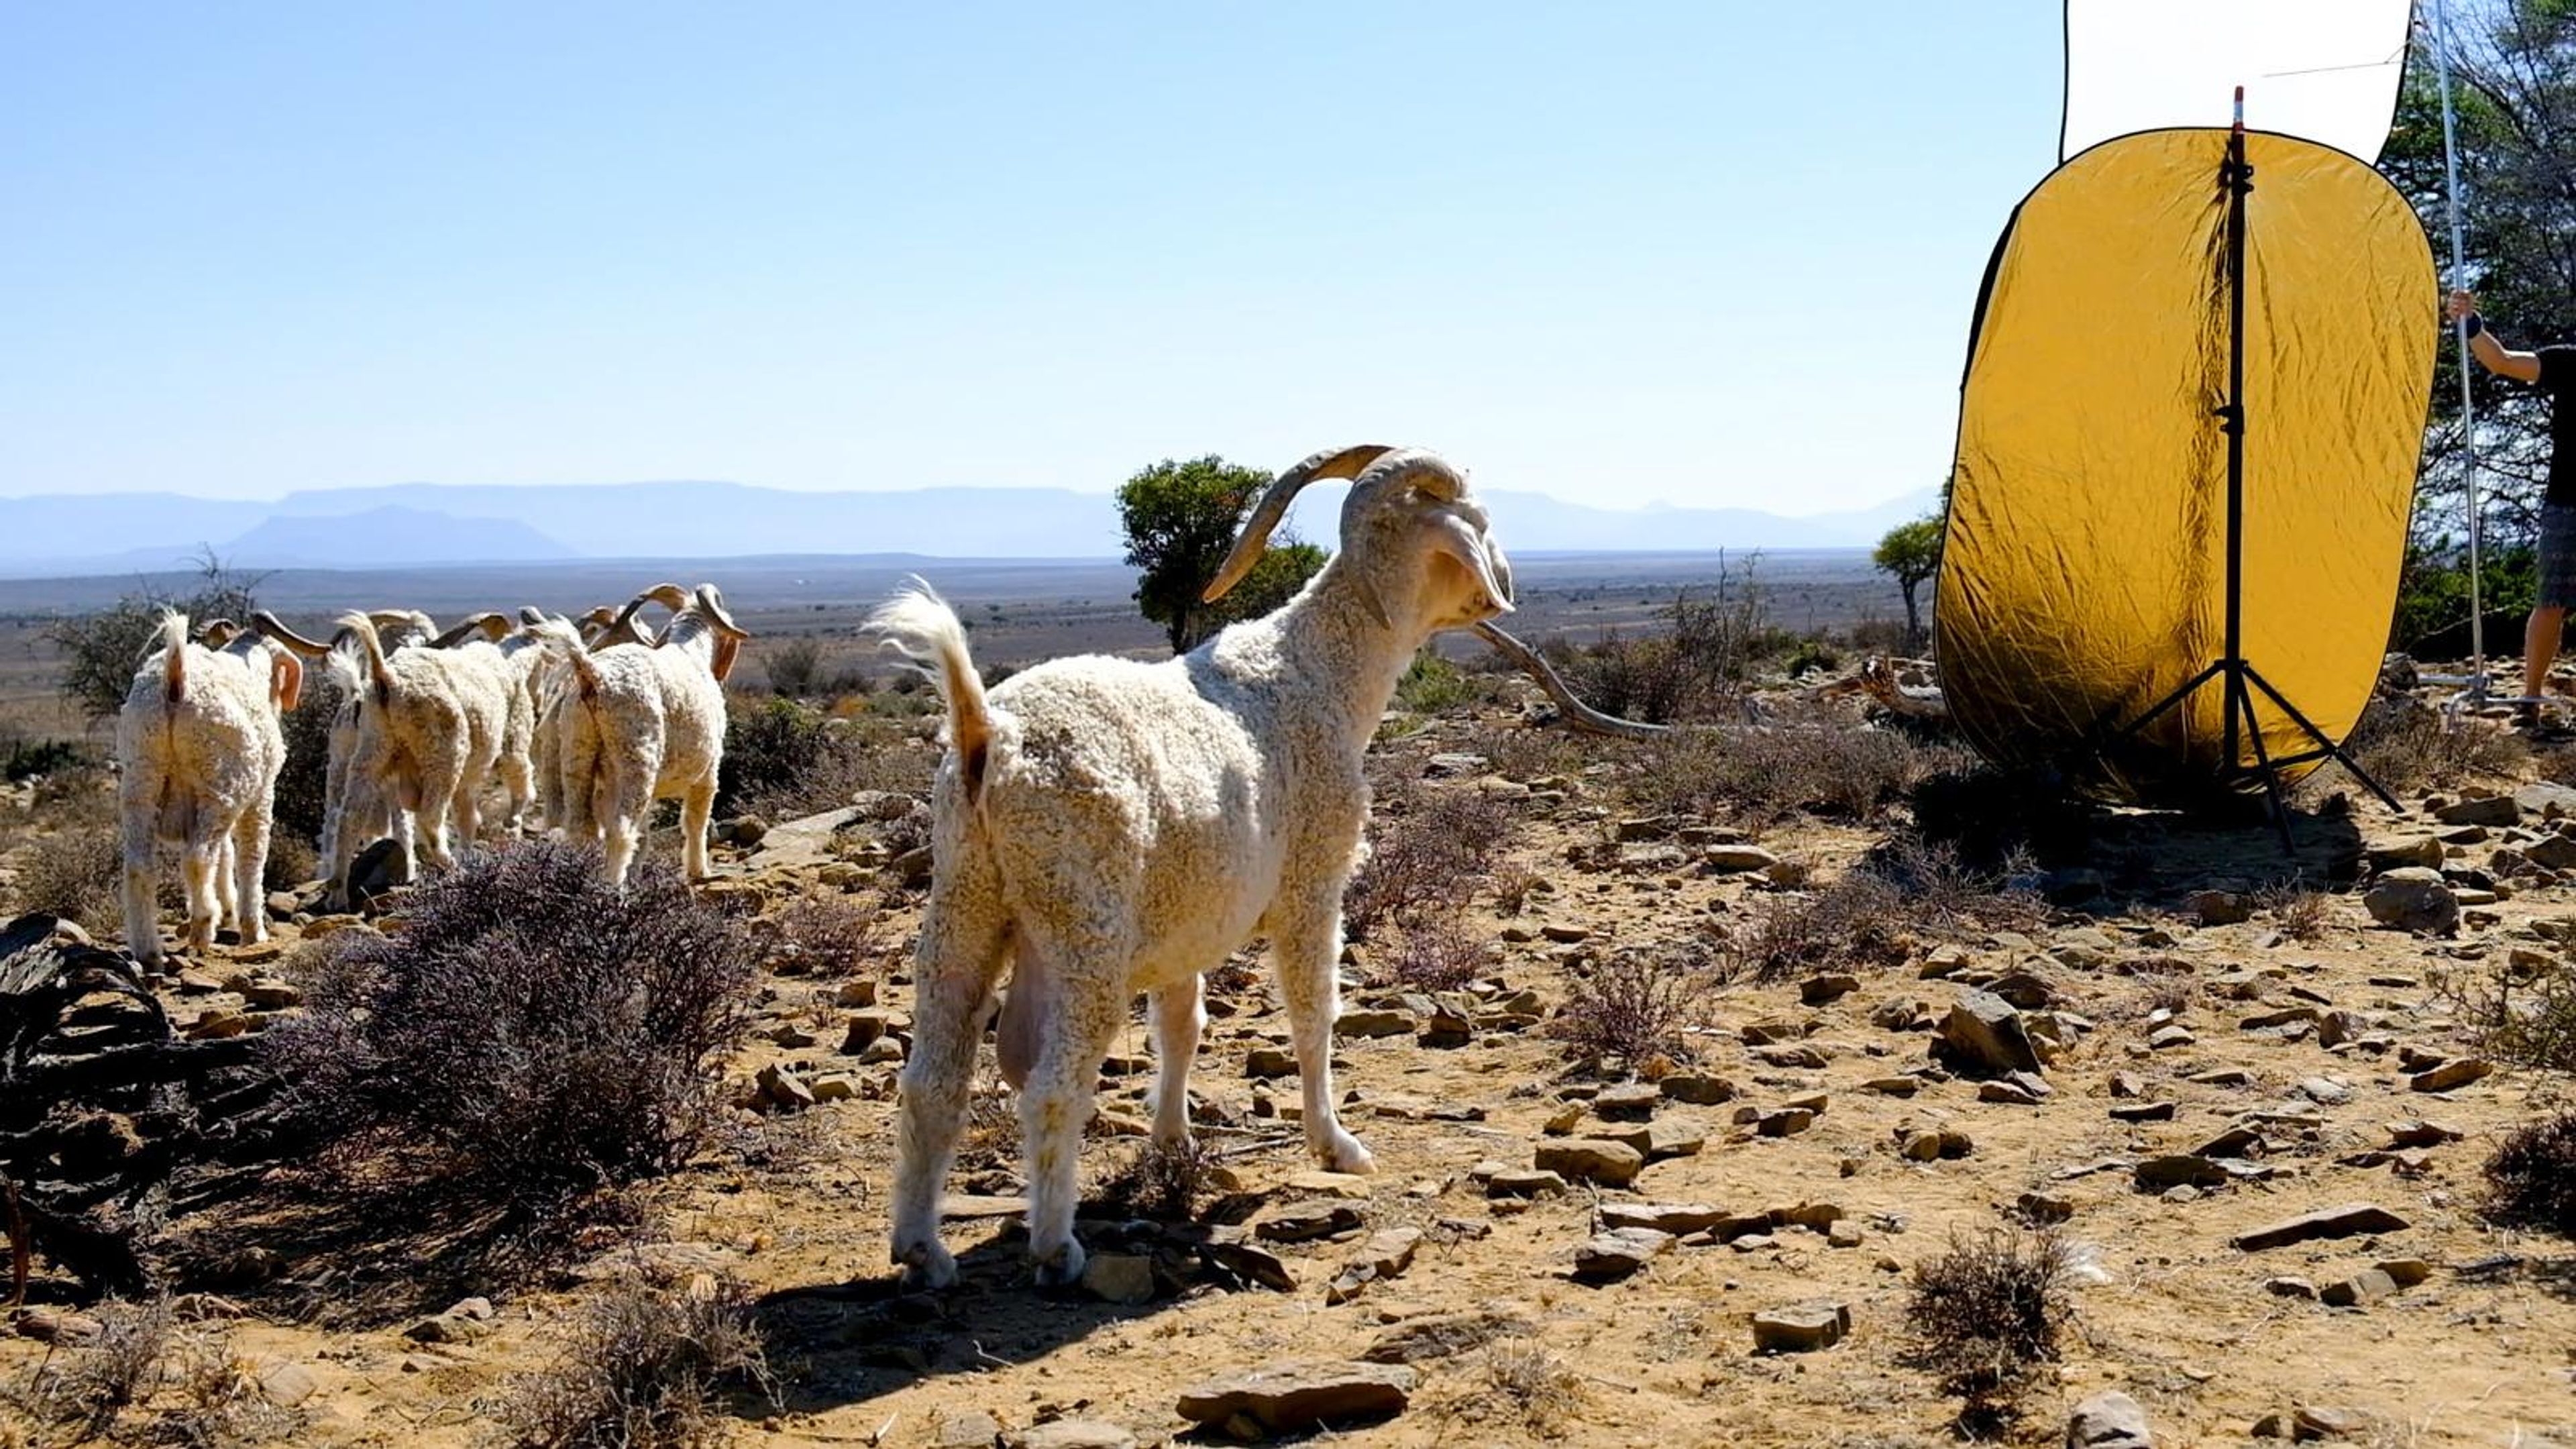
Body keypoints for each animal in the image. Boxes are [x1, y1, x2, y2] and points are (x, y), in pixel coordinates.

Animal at [115, 613, 304, 966]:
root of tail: (175, 679)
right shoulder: (260, 796)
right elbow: (251, 858)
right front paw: (252, 931)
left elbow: (226, 854)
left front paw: (229, 912)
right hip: (221, 789)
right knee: (198, 857)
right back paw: (202, 928)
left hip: (141, 780)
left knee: (140, 866)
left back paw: (148, 951)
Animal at [533, 583, 749, 886]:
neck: (691, 651)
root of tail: (593, 675)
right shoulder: (708, 773)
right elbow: (696, 822)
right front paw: (699, 871)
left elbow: (645, 836)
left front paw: (637, 876)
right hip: (637, 761)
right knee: (621, 830)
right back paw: (613, 888)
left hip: (578, 753)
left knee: (581, 827)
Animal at [868, 444, 1514, 1287]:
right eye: (1477, 521)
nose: (1505, 585)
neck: (1318, 667)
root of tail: (990, 735)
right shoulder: (1313, 884)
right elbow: (1314, 1012)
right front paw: (1335, 1144)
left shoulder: (1186, 917)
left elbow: (1183, 1024)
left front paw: (1172, 1143)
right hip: (1085, 922)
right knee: (1053, 1088)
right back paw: (1054, 1246)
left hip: (965, 902)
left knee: (931, 1085)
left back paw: (923, 1248)